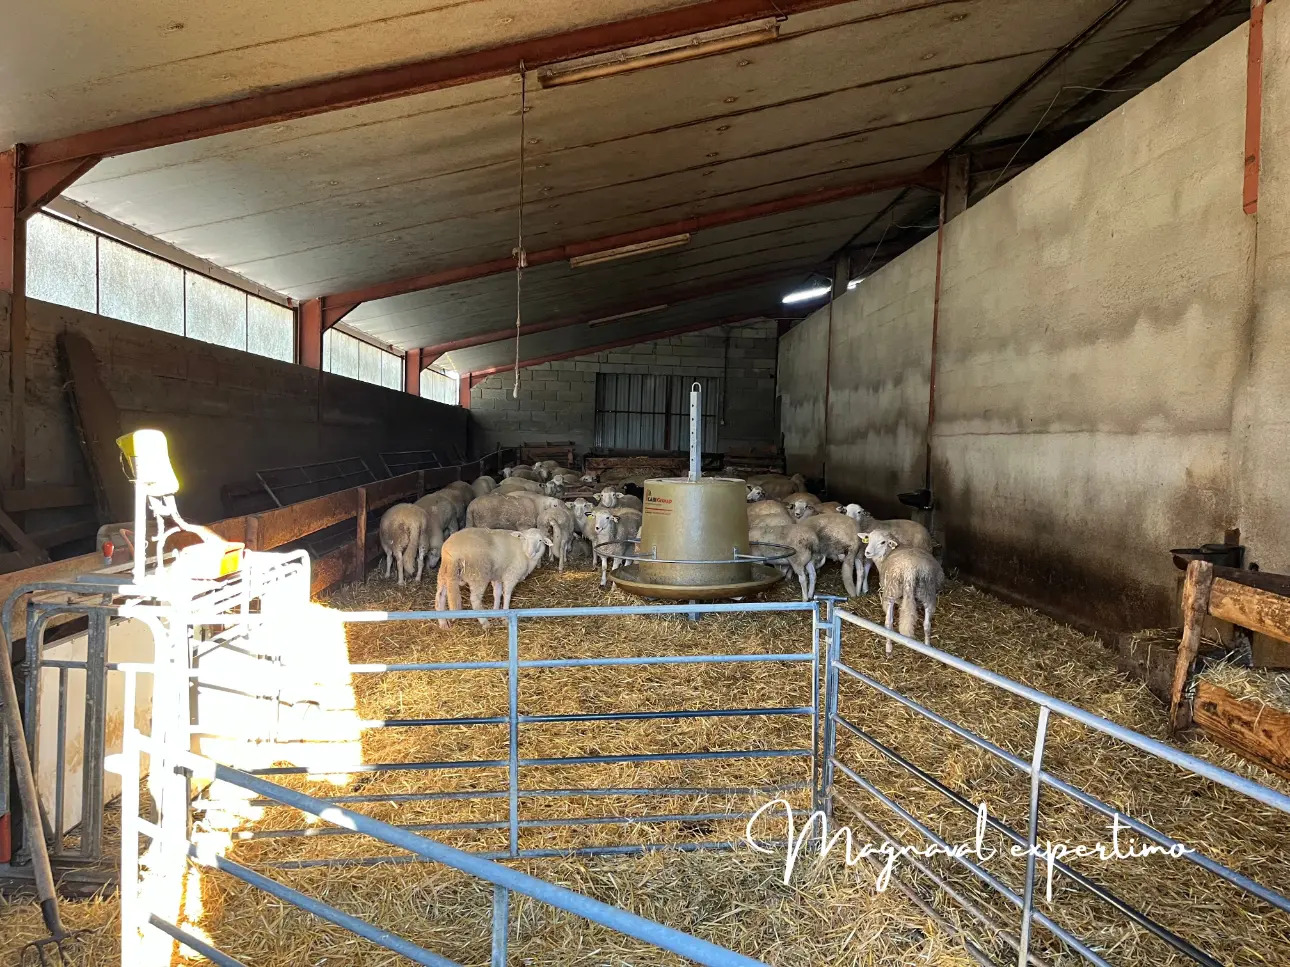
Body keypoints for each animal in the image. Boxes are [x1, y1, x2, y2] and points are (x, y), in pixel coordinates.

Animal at [861, 526, 944, 654]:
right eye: (868, 538)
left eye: (883, 542)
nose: (867, 552)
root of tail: (911, 569)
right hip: (927, 592)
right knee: (927, 624)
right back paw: (927, 647)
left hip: (891, 591)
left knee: (888, 624)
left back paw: (888, 648)